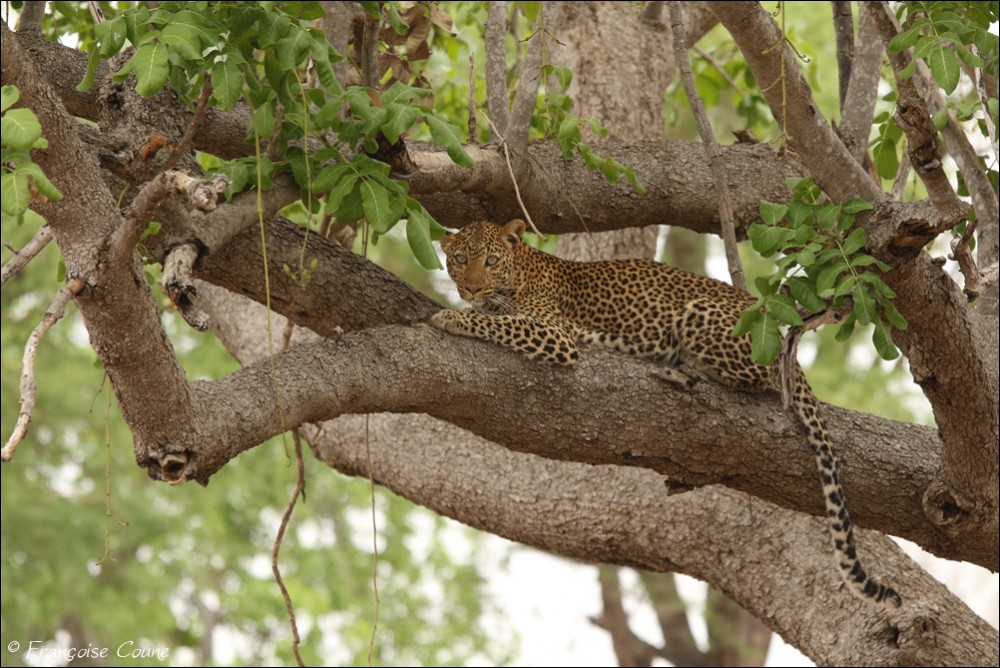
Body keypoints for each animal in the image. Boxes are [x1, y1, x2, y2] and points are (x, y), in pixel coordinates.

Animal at [431, 218, 902, 609]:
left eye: (491, 261)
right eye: (459, 260)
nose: (470, 289)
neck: (518, 273)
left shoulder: (556, 334)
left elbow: (500, 323)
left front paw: (451, 316)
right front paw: (461, 309)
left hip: (702, 316)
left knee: (753, 378)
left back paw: (687, 366)